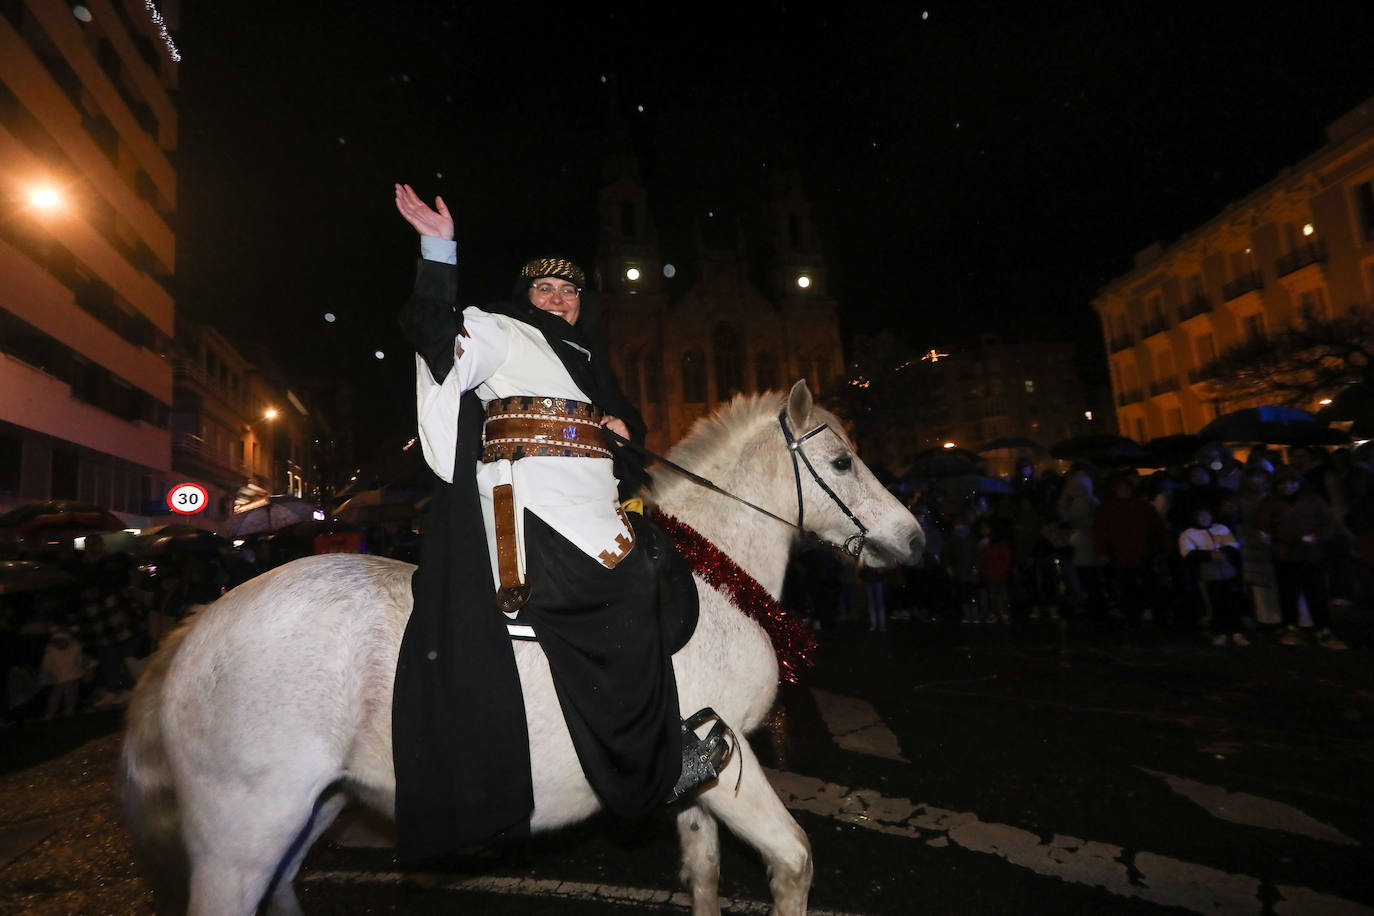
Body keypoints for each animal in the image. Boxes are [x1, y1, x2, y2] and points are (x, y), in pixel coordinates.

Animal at [120, 379, 923, 916]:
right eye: (844, 463)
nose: (916, 540)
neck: (715, 571)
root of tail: (195, 628)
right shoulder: (730, 754)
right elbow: (792, 859)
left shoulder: (694, 775)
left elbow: (702, 874)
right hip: (243, 835)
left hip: (310, 808)